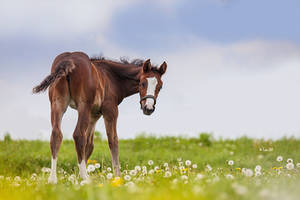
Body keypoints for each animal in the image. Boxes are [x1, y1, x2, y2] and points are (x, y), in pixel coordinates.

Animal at [34, 51, 169, 183]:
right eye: (142, 83)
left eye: (160, 86)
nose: (148, 108)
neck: (113, 77)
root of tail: (68, 60)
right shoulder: (110, 111)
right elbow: (113, 140)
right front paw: (117, 176)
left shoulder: (94, 114)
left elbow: (89, 144)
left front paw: (76, 178)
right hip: (83, 105)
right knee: (78, 135)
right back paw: (85, 178)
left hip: (57, 103)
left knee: (56, 135)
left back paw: (53, 179)